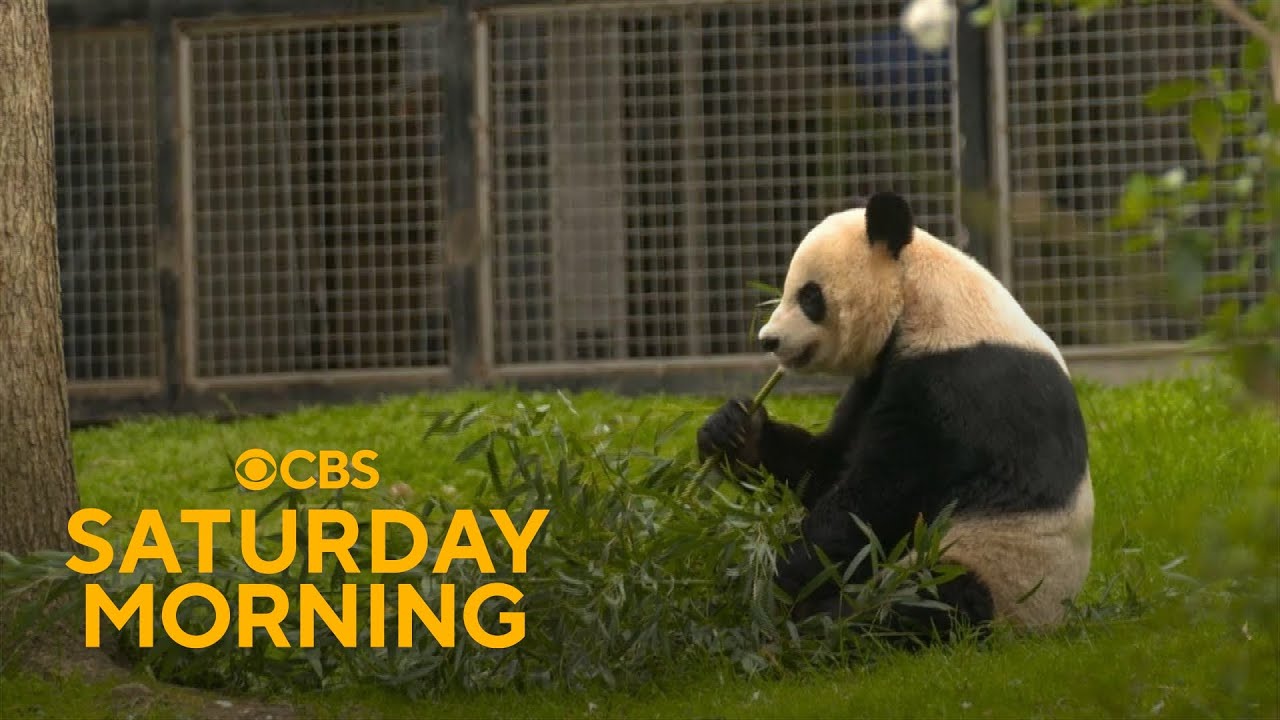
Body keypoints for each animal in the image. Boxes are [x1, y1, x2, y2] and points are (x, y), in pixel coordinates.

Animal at [696, 191, 1094, 640]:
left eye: (809, 296)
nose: (769, 340)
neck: (921, 301)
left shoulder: (956, 387)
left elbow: (879, 497)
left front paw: (778, 575)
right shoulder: (876, 378)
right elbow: (826, 465)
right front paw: (733, 430)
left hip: (1000, 571)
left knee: (928, 601)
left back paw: (822, 626)